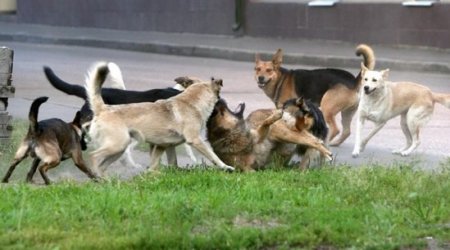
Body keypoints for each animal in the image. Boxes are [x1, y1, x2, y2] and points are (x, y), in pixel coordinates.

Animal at [84, 62, 236, 174]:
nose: (225, 104)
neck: (190, 102)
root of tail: (103, 108)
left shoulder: (165, 146)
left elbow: (168, 163)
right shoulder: (195, 140)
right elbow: (213, 156)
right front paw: (225, 167)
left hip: (119, 148)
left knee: (102, 166)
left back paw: (104, 181)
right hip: (117, 145)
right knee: (93, 157)